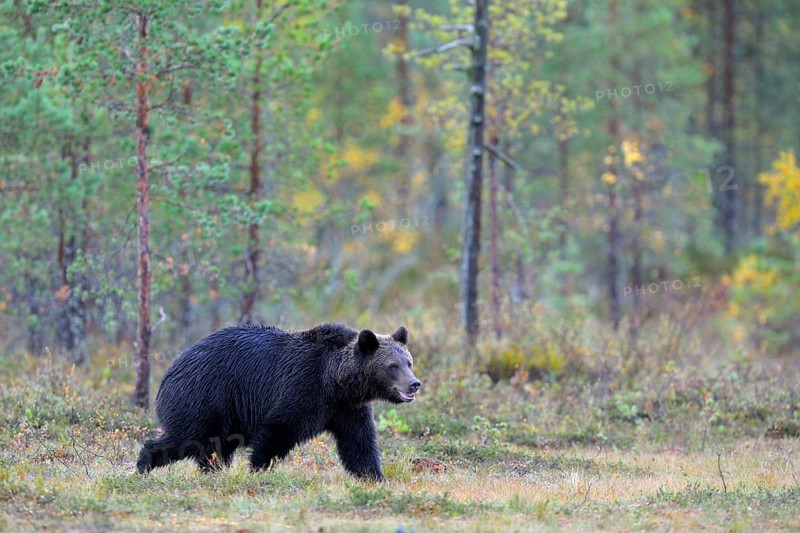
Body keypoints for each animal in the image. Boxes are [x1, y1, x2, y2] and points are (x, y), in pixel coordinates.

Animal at [136, 323, 420, 481]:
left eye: (409, 362)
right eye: (392, 366)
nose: (414, 384)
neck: (336, 382)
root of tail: (170, 370)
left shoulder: (347, 409)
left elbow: (359, 443)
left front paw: (373, 477)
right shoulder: (302, 388)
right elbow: (278, 431)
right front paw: (258, 469)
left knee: (215, 448)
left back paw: (213, 472)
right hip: (203, 398)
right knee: (186, 438)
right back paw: (143, 465)